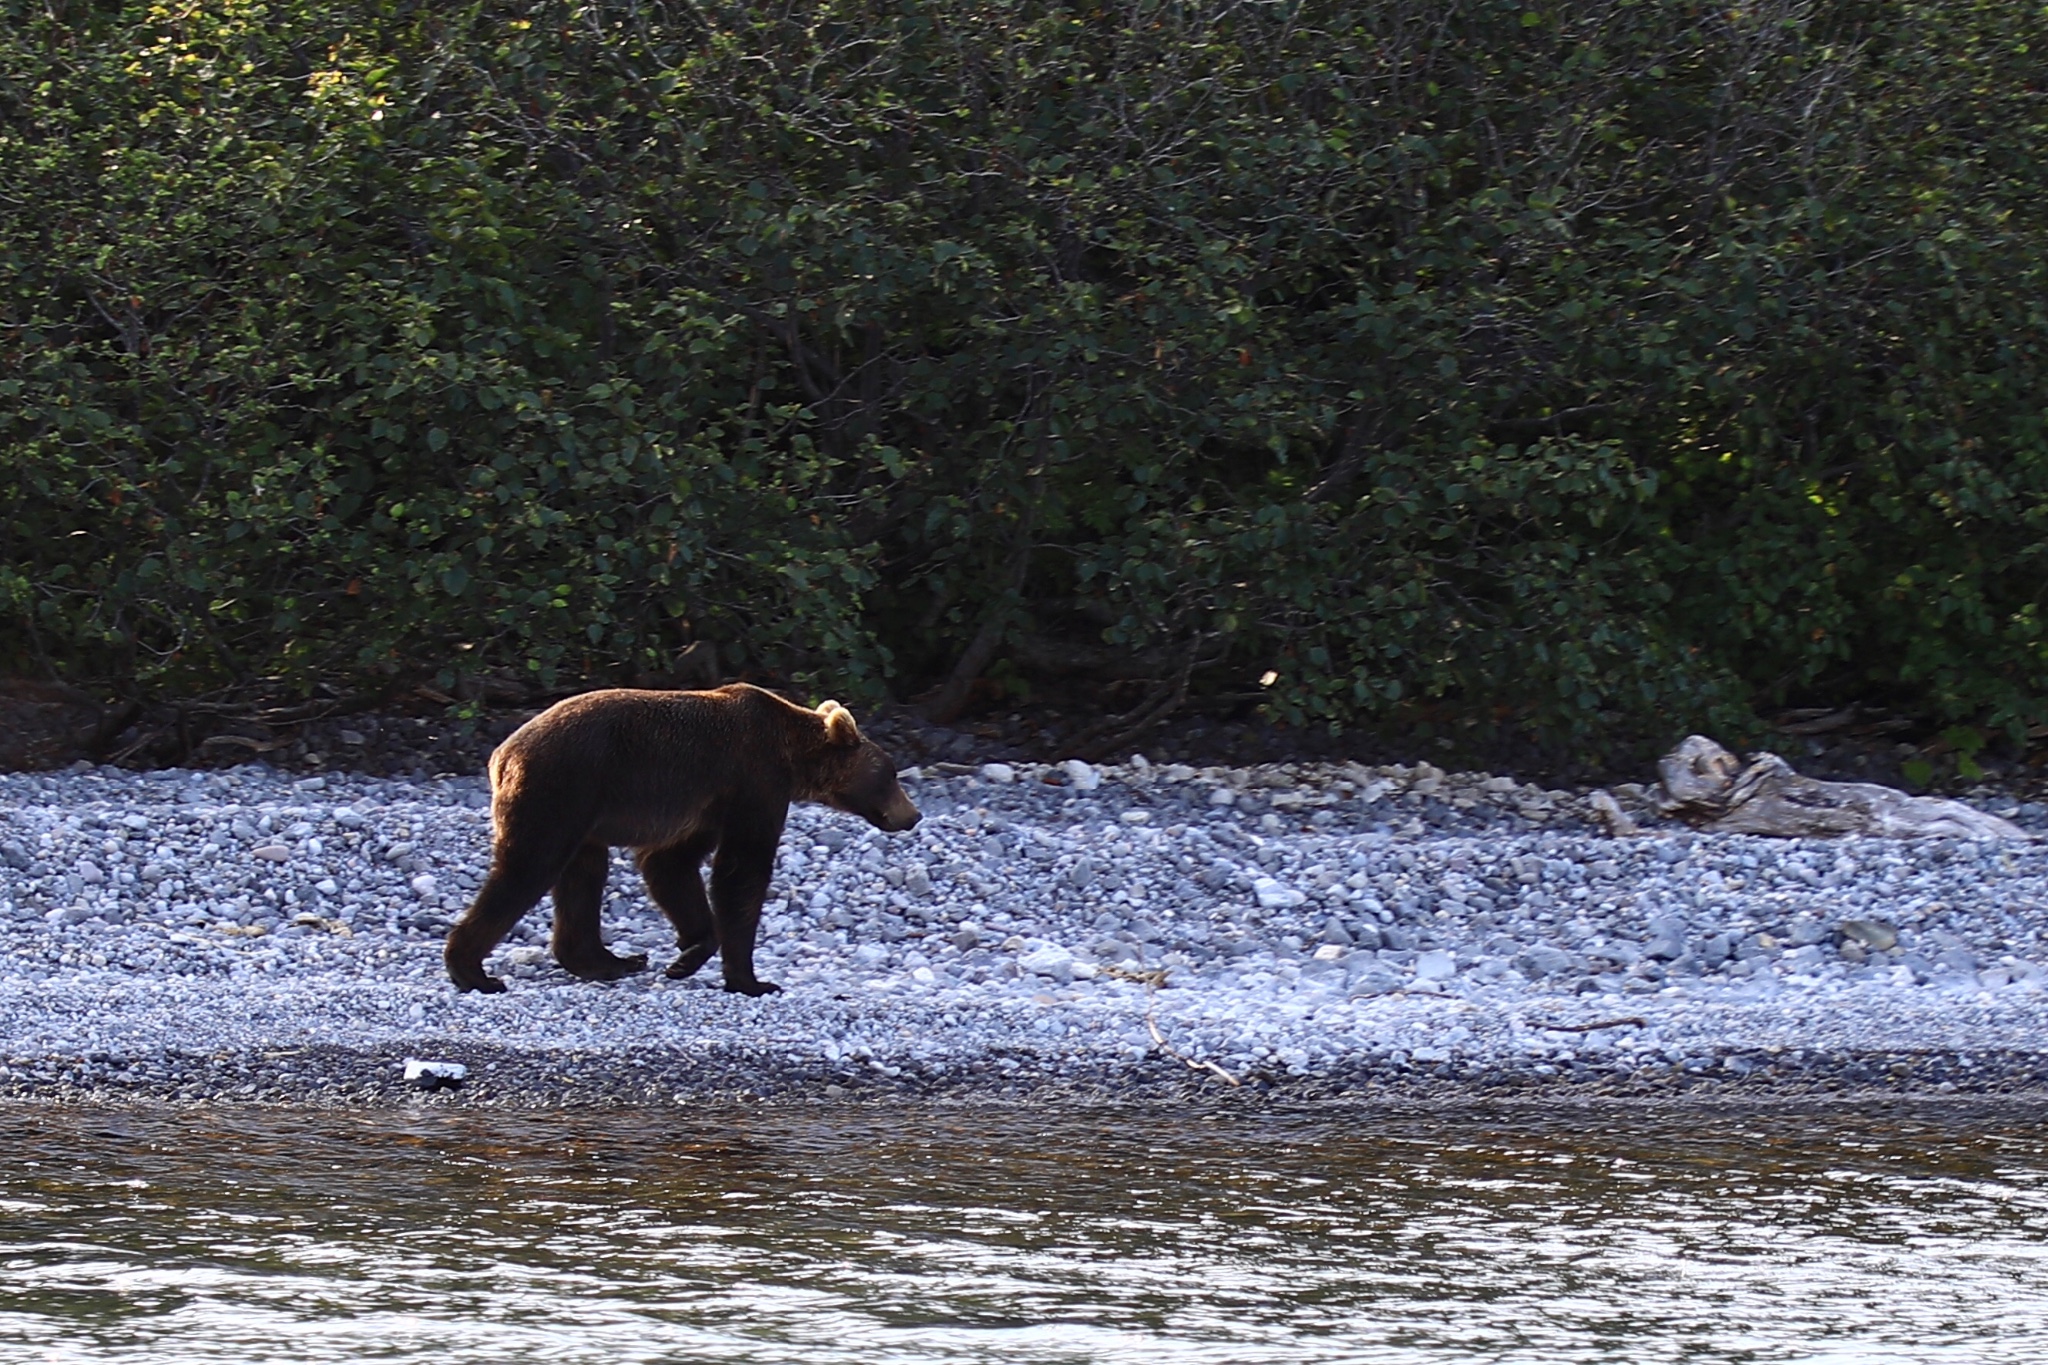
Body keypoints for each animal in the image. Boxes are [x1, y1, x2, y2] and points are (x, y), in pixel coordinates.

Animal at [456, 683, 929, 994]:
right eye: (890, 774)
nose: (913, 815)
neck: (794, 759)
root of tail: (501, 753)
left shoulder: (708, 806)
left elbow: (670, 865)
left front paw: (688, 952)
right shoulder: (754, 783)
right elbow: (742, 871)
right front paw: (751, 979)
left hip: (583, 810)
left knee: (583, 875)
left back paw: (611, 960)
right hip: (560, 788)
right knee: (529, 868)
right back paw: (473, 971)